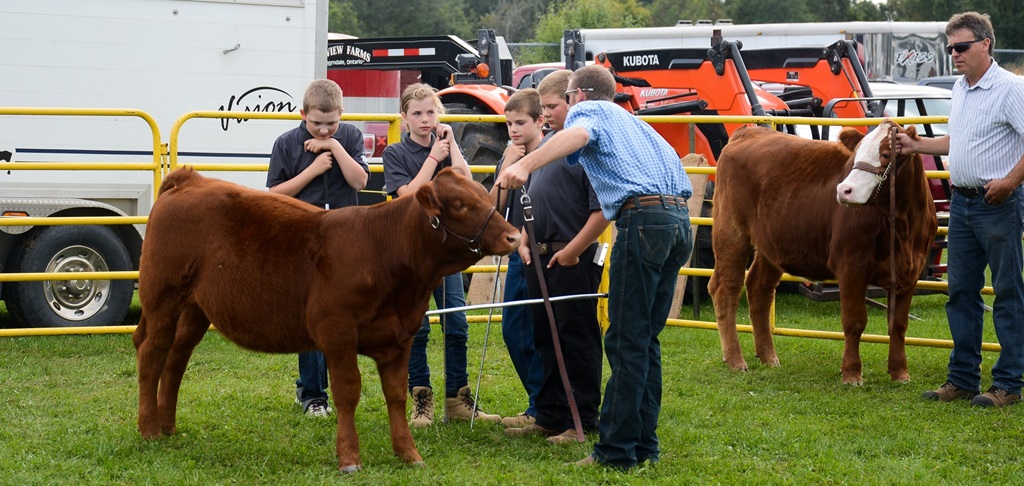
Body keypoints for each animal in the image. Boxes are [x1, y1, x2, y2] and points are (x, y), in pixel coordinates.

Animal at [133, 167, 519, 472]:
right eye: (459, 204)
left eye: (484, 194)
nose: (514, 236)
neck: (384, 250)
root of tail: (191, 179)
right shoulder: (337, 333)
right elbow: (348, 392)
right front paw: (349, 458)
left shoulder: (400, 337)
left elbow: (396, 395)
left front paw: (409, 454)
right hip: (163, 296)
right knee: (152, 352)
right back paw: (149, 429)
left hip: (195, 308)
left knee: (177, 356)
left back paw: (168, 425)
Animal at [708, 120, 937, 385]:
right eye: (855, 154)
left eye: (886, 154)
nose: (844, 190)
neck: (902, 226)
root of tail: (749, 131)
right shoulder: (851, 266)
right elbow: (854, 321)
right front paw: (851, 373)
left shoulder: (910, 272)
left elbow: (898, 325)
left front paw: (900, 372)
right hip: (731, 232)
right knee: (726, 289)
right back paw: (735, 359)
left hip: (770, 245)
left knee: (758, 288)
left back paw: (768, 356)